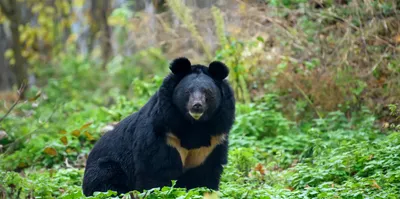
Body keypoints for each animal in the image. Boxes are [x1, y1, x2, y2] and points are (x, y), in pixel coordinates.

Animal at [82, 57, 236, 196]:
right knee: (105, 182)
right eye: (187, 92)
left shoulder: (212, 143)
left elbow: (205, 174)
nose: (197, 106)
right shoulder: (164, 134)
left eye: (208, 92)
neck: (194, 125)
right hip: (107, 167)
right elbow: (157, 170)